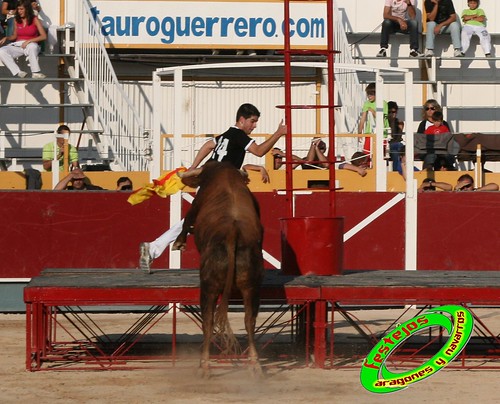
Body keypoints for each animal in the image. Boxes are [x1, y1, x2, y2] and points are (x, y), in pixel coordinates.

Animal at [173, 162, 264, 378]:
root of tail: (233, 232)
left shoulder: (197, 203)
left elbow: (187, 219)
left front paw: (179, 243)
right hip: (251, 286)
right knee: (249, 321)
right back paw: (255, 365)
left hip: (209, 287)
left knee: (208, 321)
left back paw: (204, 366)